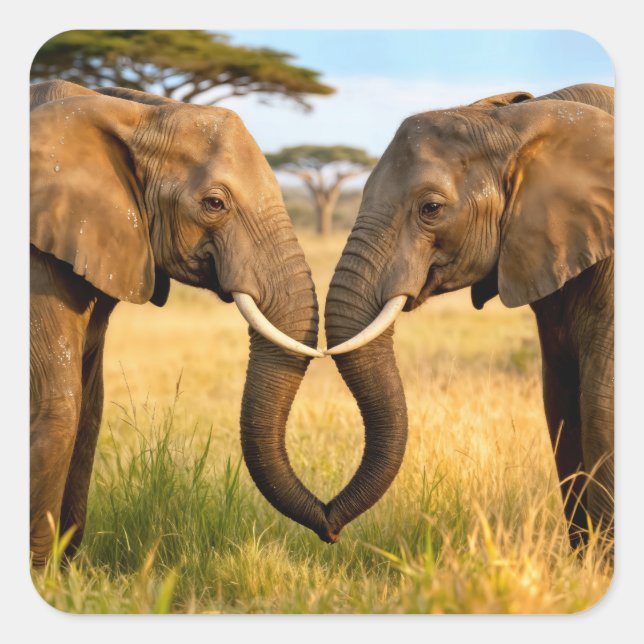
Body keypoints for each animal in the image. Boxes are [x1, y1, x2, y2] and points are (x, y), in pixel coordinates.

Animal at [30, 80, 333, 566]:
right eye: (214, 203)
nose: (330, 527)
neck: (125, 110)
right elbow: (57, 410)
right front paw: (42, 575)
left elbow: (89, 411)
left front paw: (64, 573)